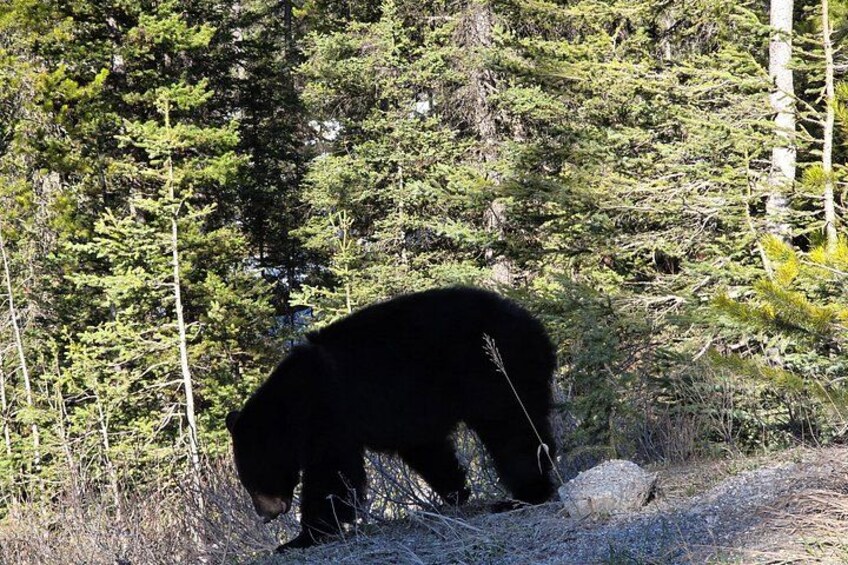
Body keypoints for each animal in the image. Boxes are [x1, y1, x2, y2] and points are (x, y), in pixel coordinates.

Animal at [225, 286, 557, 552]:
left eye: (252, 480)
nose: (265, 514)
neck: (294, 404)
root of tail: (535, 325)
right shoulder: (400, 413)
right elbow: (427, 449)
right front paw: (455, 492)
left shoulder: (331, 415)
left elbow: (331, 475)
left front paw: (301, 538)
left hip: (494, 371)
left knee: (512, 432)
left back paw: (525, 495)